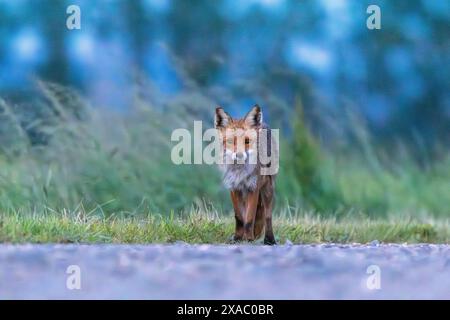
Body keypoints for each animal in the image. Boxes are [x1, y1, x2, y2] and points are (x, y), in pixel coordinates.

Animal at [215, 105, 278, 245]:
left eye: (247, 141)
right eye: (231, 141)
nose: (239, 155)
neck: (240, 173)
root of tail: (262, 124)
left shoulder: (253, 188)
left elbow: (249, 219)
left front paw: (249, 239)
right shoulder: (234, 188)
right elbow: (239, 217)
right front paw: (238, 237)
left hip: (267, 189)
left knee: (268, 216)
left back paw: (269, 239)